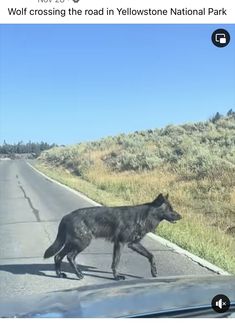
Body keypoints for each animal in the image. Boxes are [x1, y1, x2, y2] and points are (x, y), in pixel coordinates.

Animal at [43, 194, 181, 280]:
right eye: (169, 209)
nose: (181, 216)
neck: (144, 216)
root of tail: (66, 216)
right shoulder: (120, 243)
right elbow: (116, 262)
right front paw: (116, 277)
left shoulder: (133, 244)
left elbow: (151, 256)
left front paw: (154, 272)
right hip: (81, 243)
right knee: (69, 257)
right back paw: (79, 275)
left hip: (73, 243)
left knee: (58, 256)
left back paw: (60, 274)